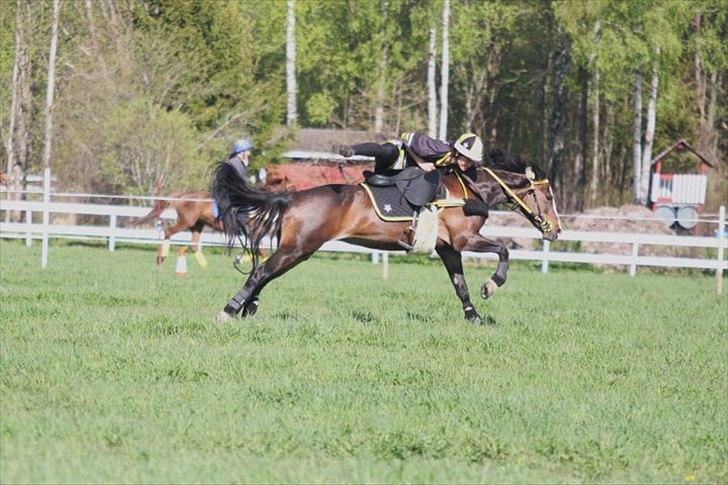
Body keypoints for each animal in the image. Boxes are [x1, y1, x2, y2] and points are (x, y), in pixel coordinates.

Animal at [210, 150, 564, 326]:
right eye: (548, 197)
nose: (556, 230)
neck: (469, 190)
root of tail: (292, 197)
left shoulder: (449, 249)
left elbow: (460, 286)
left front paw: (474, 317)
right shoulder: (466, 240)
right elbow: (504, 251)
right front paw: (491, 286)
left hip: (298, 249)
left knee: (265, 274)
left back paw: (248, 308)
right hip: (299, 247)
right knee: (261, 272)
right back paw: (229, 310)